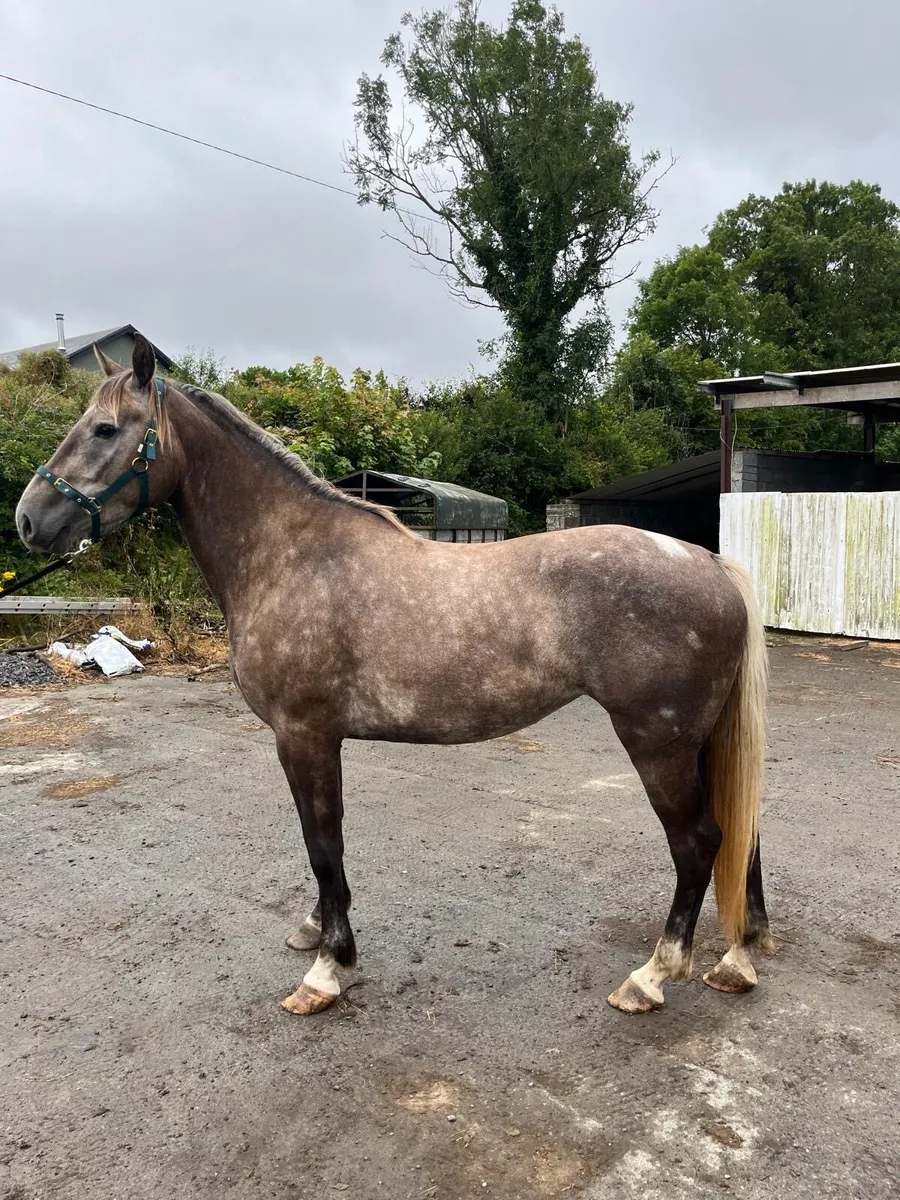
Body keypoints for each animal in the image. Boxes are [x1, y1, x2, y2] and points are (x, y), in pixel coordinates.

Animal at [15, 336, 773, 1018]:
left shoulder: (304, 734)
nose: (28, 521)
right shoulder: (312, 739)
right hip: (701, 740)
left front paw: (329, 970)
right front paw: (317, 931)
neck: (291, 555)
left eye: (106, 428)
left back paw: (653, 976)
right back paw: (737, 958)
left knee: (698, 843)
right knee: (740, 834)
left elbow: (323, 841)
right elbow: (320, 840)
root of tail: (709, 563)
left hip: (658, 743)